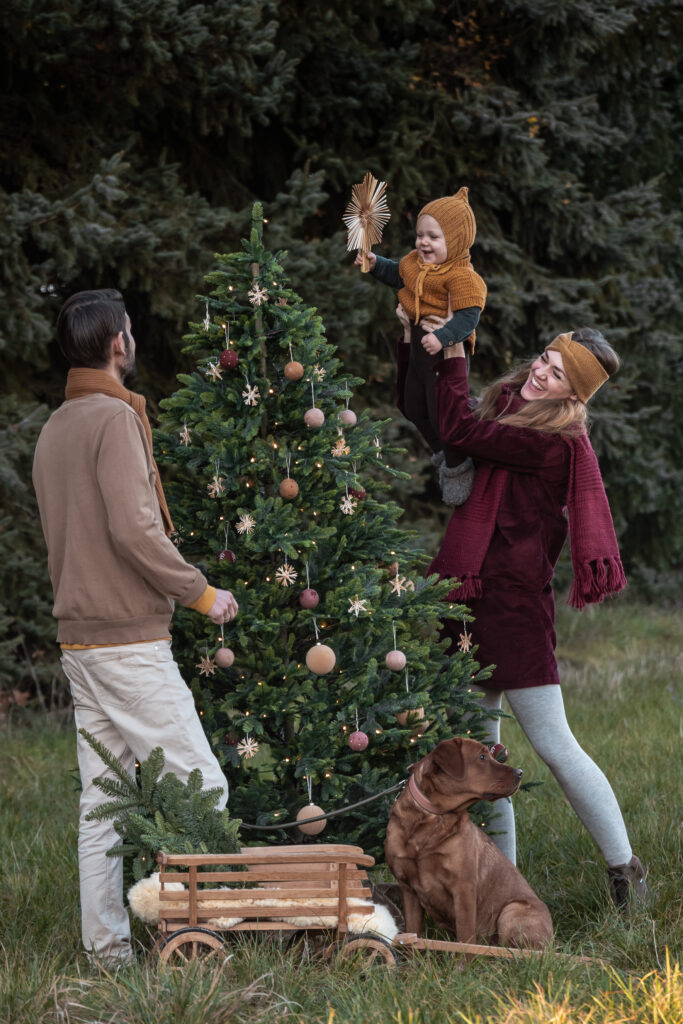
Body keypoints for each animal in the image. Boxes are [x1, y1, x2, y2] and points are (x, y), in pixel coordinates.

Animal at [387, 733, 552, 946]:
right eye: (482, 757)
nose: (520, 772)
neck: (429, 820)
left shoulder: (463, 887)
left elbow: (465, 937)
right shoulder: (408, 888)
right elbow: (412, 932)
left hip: (511, 910)